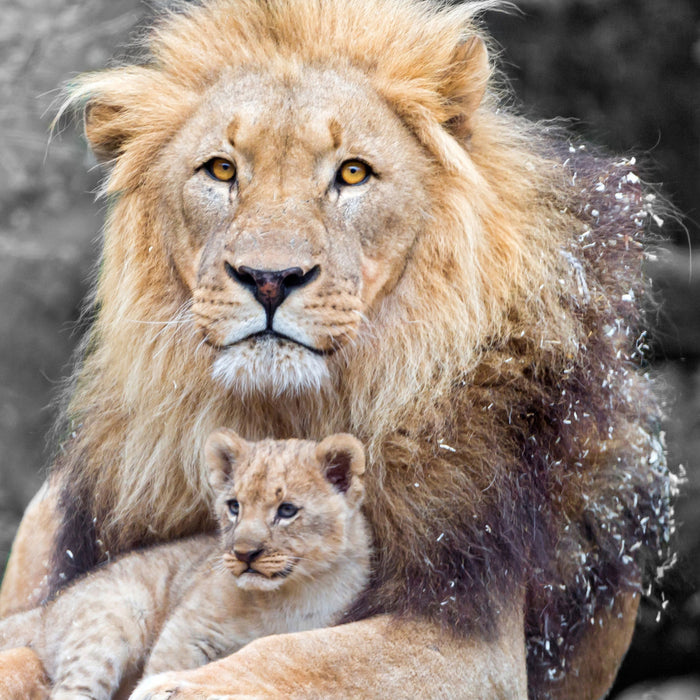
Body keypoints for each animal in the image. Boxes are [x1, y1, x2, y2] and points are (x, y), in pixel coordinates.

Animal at [1, 1, 672, 700]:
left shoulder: (471, 632)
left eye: (352, 172)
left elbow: (288, 656)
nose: (270, 278)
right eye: (221, 169)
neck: (280, 414)